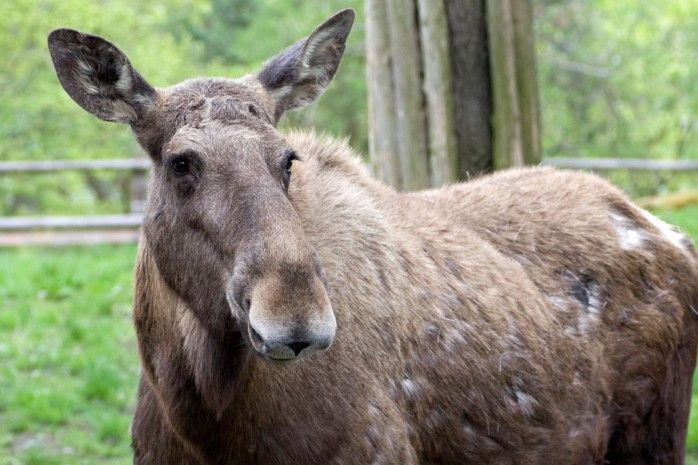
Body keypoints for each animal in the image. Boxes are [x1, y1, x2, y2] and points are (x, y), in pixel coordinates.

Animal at [48, 9, 698, 465]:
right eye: (181, 161)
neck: (201, 415)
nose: (297, 319)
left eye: (287, 159)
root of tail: (668, 232)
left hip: (654, 436)